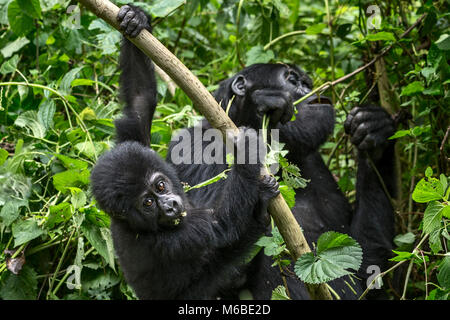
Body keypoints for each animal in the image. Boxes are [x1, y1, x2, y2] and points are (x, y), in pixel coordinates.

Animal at [90, 129, 280, 298]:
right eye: (148, 203)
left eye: (160, 186)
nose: (170, 206)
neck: (129, 224)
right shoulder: (167, 241)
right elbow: (223, 224)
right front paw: (246, 150)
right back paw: (260, 214)